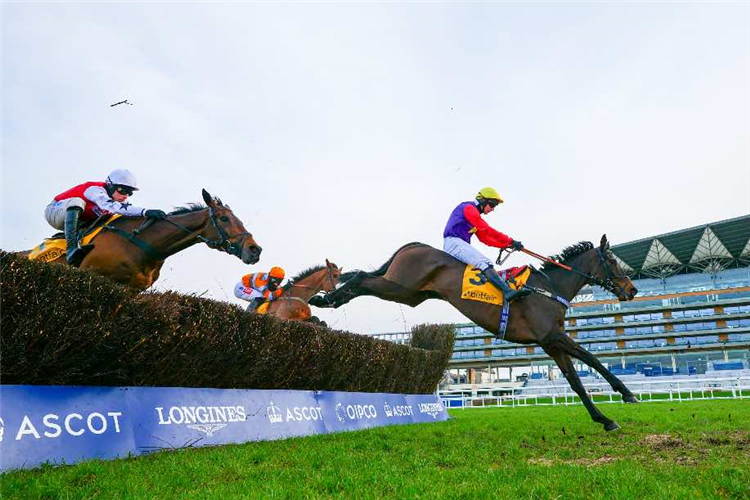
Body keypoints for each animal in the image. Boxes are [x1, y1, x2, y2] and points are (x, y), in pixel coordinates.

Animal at [312, 236, 640, 432]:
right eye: (613, 260)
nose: (633, 289)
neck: (549, 288)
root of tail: (414, 246)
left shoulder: (550, 344)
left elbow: (575, 381)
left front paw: (604, 419)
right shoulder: (553, 337)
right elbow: (593, 360)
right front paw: (627, 393)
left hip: (409, 293)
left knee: (365, 279)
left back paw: (327, 299)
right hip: (400, 286)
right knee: (361, 277)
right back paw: (326, 299)